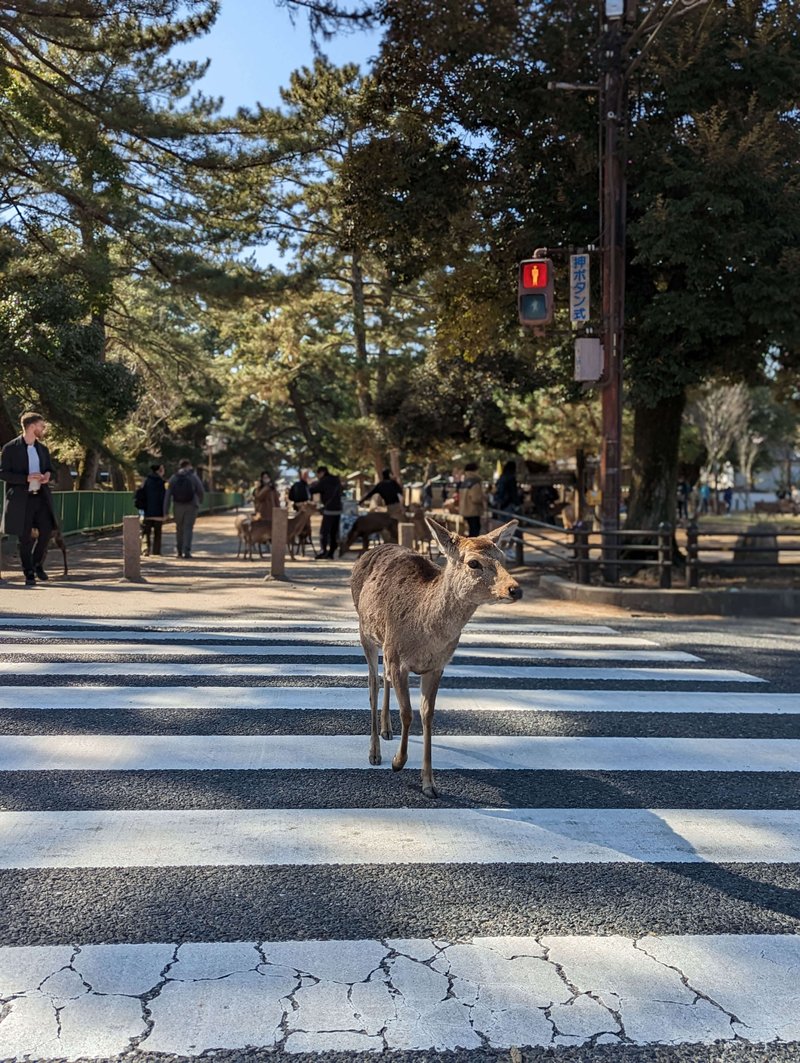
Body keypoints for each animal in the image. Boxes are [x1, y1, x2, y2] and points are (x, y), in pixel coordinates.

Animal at [348, 514, 518, 799]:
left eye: (503, 557)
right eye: (474, 562)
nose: (515, 589)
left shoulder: (437, 666)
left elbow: (428, 715)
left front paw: (429, 784)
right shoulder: (399, 659)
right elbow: (407, 712)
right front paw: (397, 762)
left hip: (384, 643)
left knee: (384, 678)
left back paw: (386, 730)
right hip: (365, 633)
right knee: (372, 683)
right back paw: (375, 752)